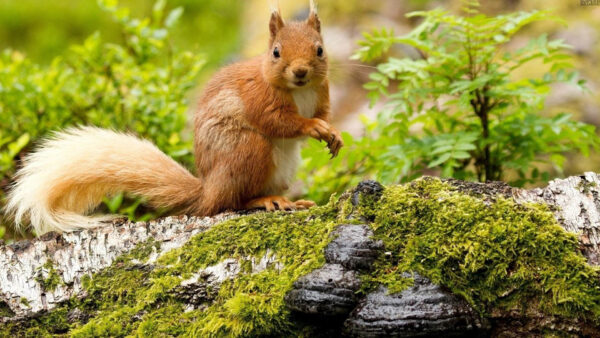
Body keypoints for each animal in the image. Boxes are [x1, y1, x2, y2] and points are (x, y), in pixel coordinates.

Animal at [4, 1, 344, 235]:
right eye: (275, 52)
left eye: (319, 49)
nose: (300, 72)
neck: (300, 90)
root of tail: (208, 189)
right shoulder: (259, 98)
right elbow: (279, 122)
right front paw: (313, 127)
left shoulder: (322, 94)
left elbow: (321, 116)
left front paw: (332, 132)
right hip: (248, 151)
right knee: (228, 204)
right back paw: (265, 201)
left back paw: (293, 202)